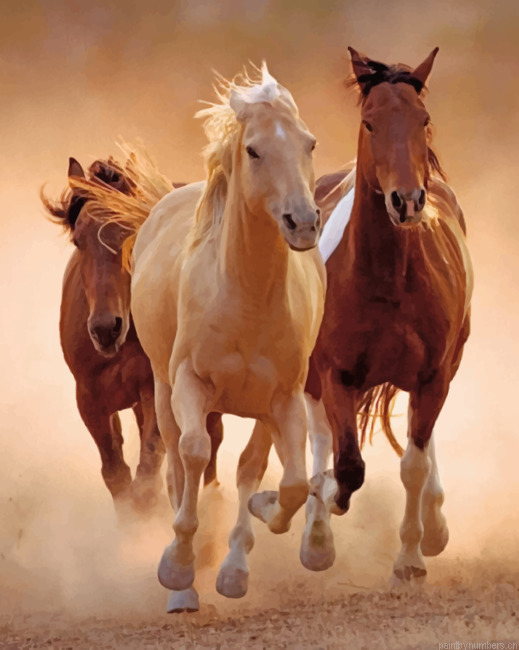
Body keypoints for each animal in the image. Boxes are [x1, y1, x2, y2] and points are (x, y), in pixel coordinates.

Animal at [42, 156, 224, 516]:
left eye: (131, 232)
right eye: (78, 240)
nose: (104, 328)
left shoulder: (155, 389)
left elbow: (148, 470)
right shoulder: (90, 398)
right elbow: (116, 474)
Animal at [87, 64, 325, 611]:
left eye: (309, 143)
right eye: (254, 150)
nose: (303, 223)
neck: (246, 299)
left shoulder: (282, 399)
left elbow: (287, 482)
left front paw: (255, 526)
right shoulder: (189, 384)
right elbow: (192, 455)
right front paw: (177, 567)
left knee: (245, 466)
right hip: (160, 390)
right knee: (177, 463)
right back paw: (184, 587)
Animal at [309, 48, 473, 583]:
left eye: (422, 119)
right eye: (370, 122)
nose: (407, 201)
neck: (387, 279)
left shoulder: (432, 376)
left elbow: (414, 465)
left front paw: (411, 556)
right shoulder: (335, 374)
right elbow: (347, 465)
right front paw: (327, 506)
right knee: (320, 440)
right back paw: (315, 534)